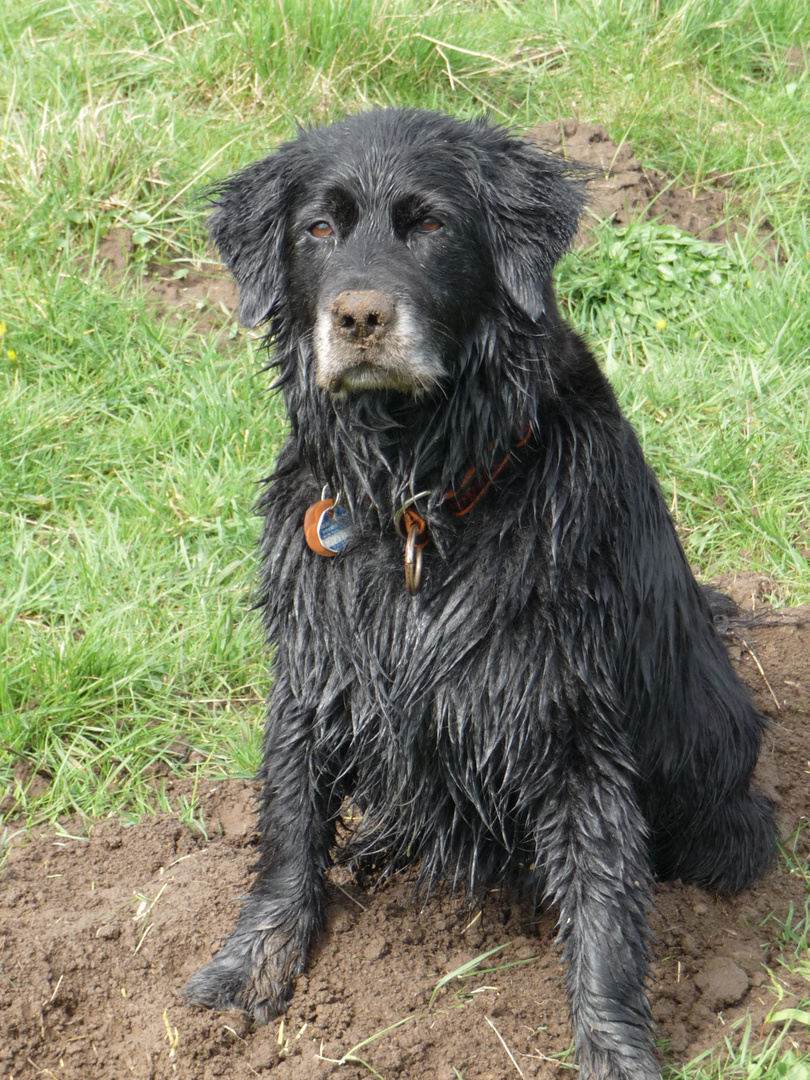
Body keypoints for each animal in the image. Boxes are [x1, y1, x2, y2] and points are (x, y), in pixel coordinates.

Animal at [185, 111, 781, 1080]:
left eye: (430, 224)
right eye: (320, 228)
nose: (358, 316)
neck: (416, 498)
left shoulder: (569, 712)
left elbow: (604, 904)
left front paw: (614, 1050)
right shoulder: (315, 669)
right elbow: (288, 825)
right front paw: (249, 968)